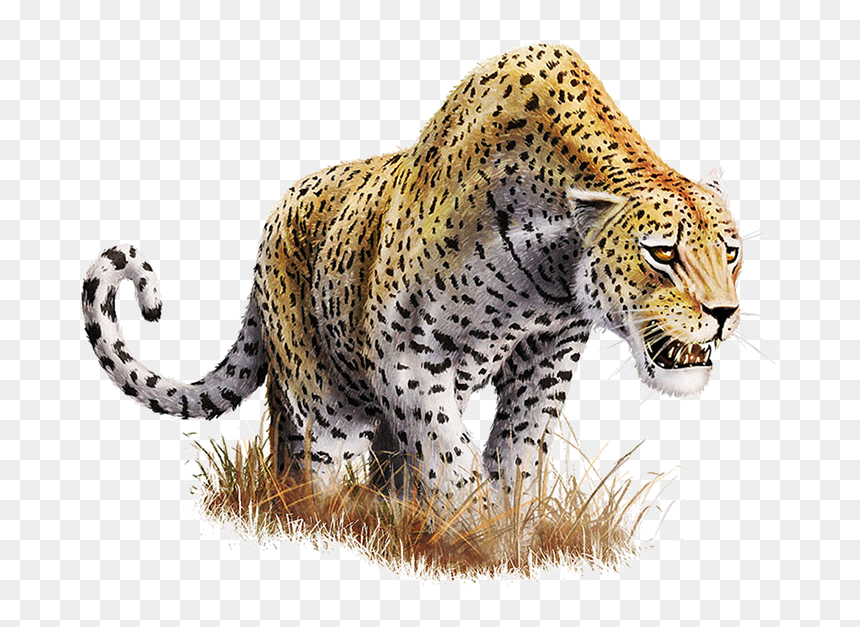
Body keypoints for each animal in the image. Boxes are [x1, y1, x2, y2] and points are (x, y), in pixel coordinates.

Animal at [83, 44, 742, 511]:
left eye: (732, 253)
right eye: (661, 254)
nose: (724, 313)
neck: (554, 274)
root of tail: (273, 222)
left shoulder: (546, 362)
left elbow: (518, 454)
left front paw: (511, 533)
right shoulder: (408, 357)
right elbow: (450, 457)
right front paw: (475, 535)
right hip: (325, 395)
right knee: (319, 465)